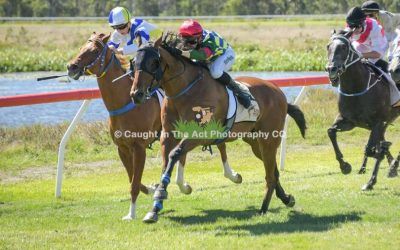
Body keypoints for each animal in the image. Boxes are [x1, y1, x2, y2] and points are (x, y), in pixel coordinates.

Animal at [66, 32, 241, 221]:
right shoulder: (122, 148)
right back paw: (183, 184)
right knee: (184, 154)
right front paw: (152, 189)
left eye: (94, 51)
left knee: (220, 145)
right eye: (81, 47)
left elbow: (134, 182)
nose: (71, 67)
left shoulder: (139, 147)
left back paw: (232, 175)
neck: (124, 102)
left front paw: (132, 214)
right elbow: (132, 178)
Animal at [130, 36, 304, 223]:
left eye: (153, 62)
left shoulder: (198, 135)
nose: (136, 94)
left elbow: (174, 155)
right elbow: (165, 163)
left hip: (269, 139)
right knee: (273, 170)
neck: (185, 90)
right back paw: (286, 198)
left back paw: (263, 209)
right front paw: (154, 208)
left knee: (270, 175)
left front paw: (160, 196)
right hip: (255, 142)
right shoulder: (168, 136)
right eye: (134, 62)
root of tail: (279, 93)